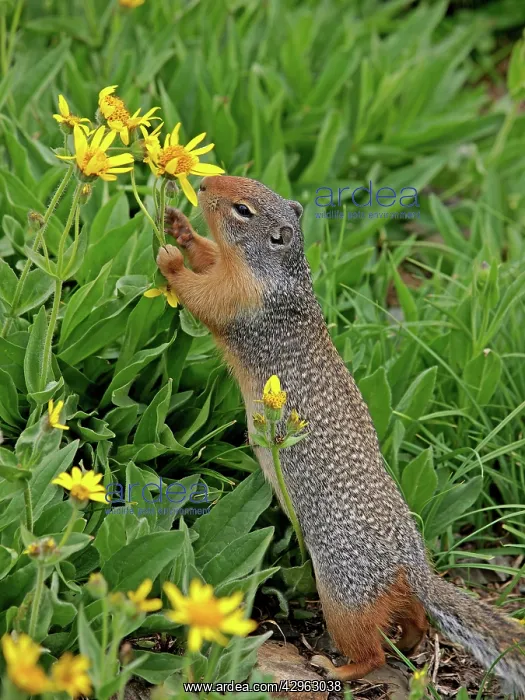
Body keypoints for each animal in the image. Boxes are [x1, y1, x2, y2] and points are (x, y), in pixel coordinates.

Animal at [156, 175, 525, 696]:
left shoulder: (241, 301)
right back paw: (409, 643)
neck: (281, 276)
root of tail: (410, 563)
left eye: (244, 209)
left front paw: (170, 258)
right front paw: (182, 230)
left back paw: (337, 668)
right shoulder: (232, 273)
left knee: (370, 651)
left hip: (343, 596)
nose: (204, 182)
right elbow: (209, 257)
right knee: (415, 620)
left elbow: (202, 296)